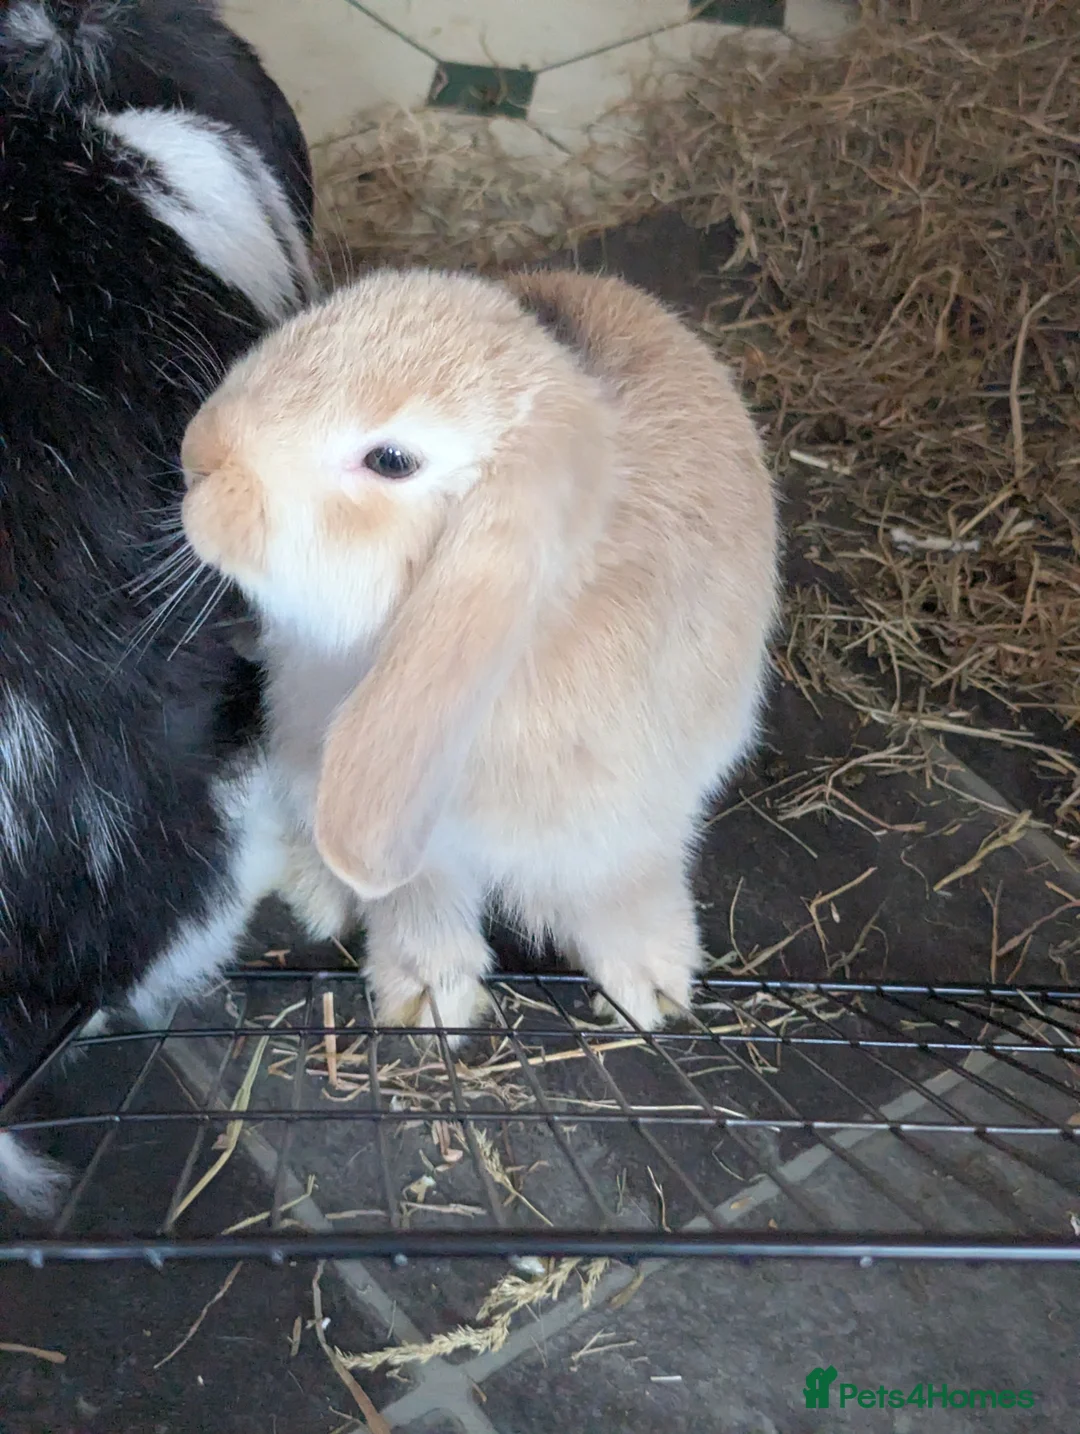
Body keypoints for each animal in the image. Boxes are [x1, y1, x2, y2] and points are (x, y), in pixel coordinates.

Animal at [180, 267, 780, 1040]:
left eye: (391, 461)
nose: (196, 453)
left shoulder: (630, 827)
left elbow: (623, 892)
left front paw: (650, 988)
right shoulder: (418, 844)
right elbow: (419, 903)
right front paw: (428, 997)